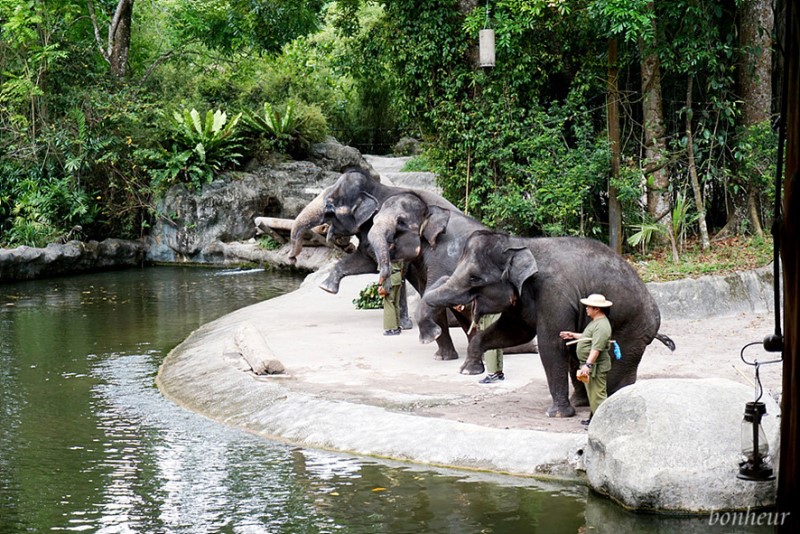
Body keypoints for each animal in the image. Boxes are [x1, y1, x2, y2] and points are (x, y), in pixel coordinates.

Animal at [418, 230, 676, 418]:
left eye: (474, 278)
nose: (430, 332)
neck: (519, 244)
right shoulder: (522, 299)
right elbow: (514, 332)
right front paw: (469, 370)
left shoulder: (554, 294)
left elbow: (551, 343)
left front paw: (558, 415)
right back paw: (581, 401)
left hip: (632, 330)